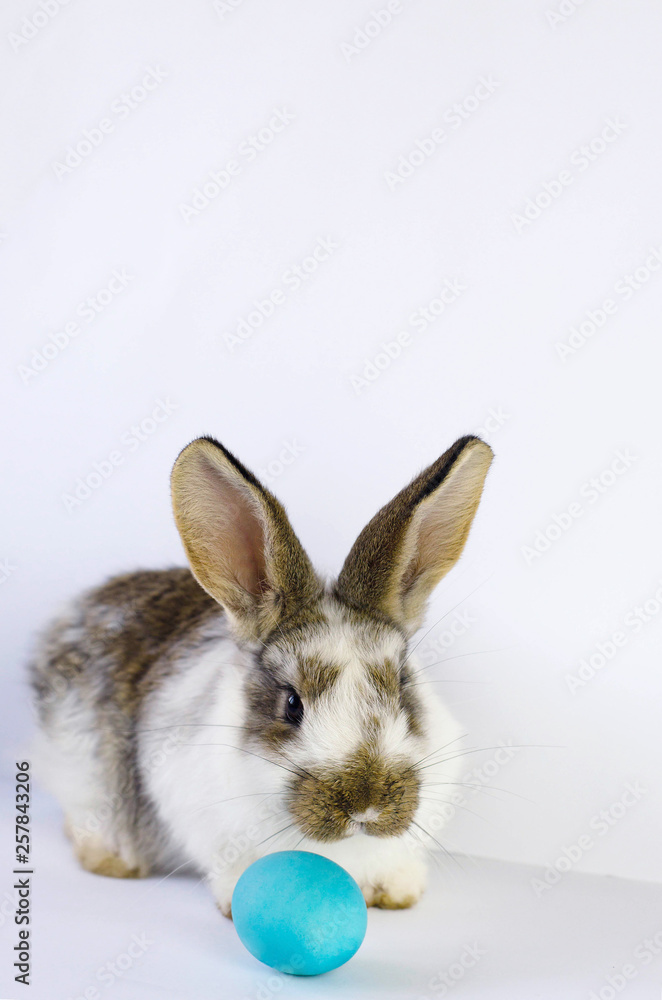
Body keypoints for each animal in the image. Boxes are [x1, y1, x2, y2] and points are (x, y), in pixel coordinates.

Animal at [29, 433, 493, 917]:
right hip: (81, 772)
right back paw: (111, 860)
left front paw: (399, 892)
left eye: (402, 690)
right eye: (291, 705)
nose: (365, 808)